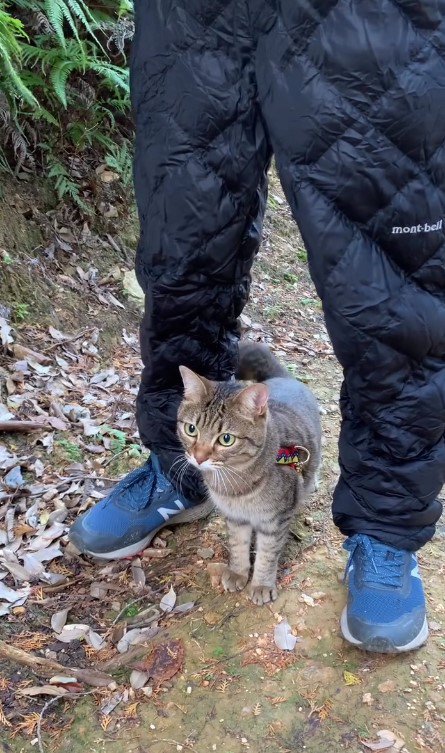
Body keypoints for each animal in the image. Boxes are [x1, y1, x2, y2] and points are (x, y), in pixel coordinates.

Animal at [178, 340, 322, 604]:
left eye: (226, 439)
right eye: (191, 429)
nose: (199, 457)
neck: (234, 485)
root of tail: (284, 377)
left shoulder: (275, 522)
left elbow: (267, 555)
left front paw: (262, 584)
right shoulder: (235, 518)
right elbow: (238, 546)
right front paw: (238, 572)